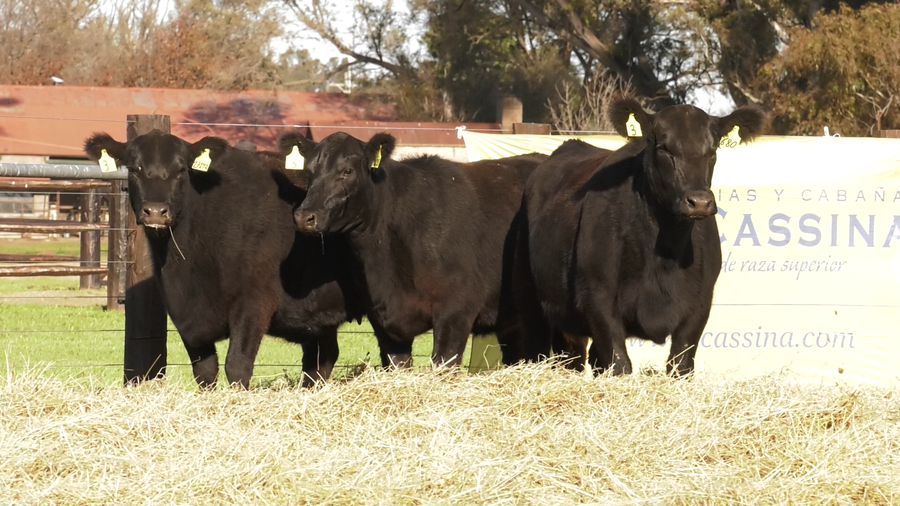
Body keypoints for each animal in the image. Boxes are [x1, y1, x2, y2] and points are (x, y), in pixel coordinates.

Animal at [84, 130, 366, 388]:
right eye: (134, 169)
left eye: (181, 169)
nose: (155, 211)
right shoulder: (184, 314)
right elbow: (205, 371)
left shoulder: (255, 300)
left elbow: (237, 365)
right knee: (322, 358)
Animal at [280, 130, 546, 368]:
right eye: (309, 172)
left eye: (347, 171)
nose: (304, 217)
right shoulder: (382, 319)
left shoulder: (457, 310)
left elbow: (443, 364)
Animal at [514, 97, 765, 376]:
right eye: (664, 148)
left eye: (713, 150)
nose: (699, 202)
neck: (665, 253)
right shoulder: (597, 296)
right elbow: (620, 363)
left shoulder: (700, 303)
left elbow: (680, 364)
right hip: (532, 298)